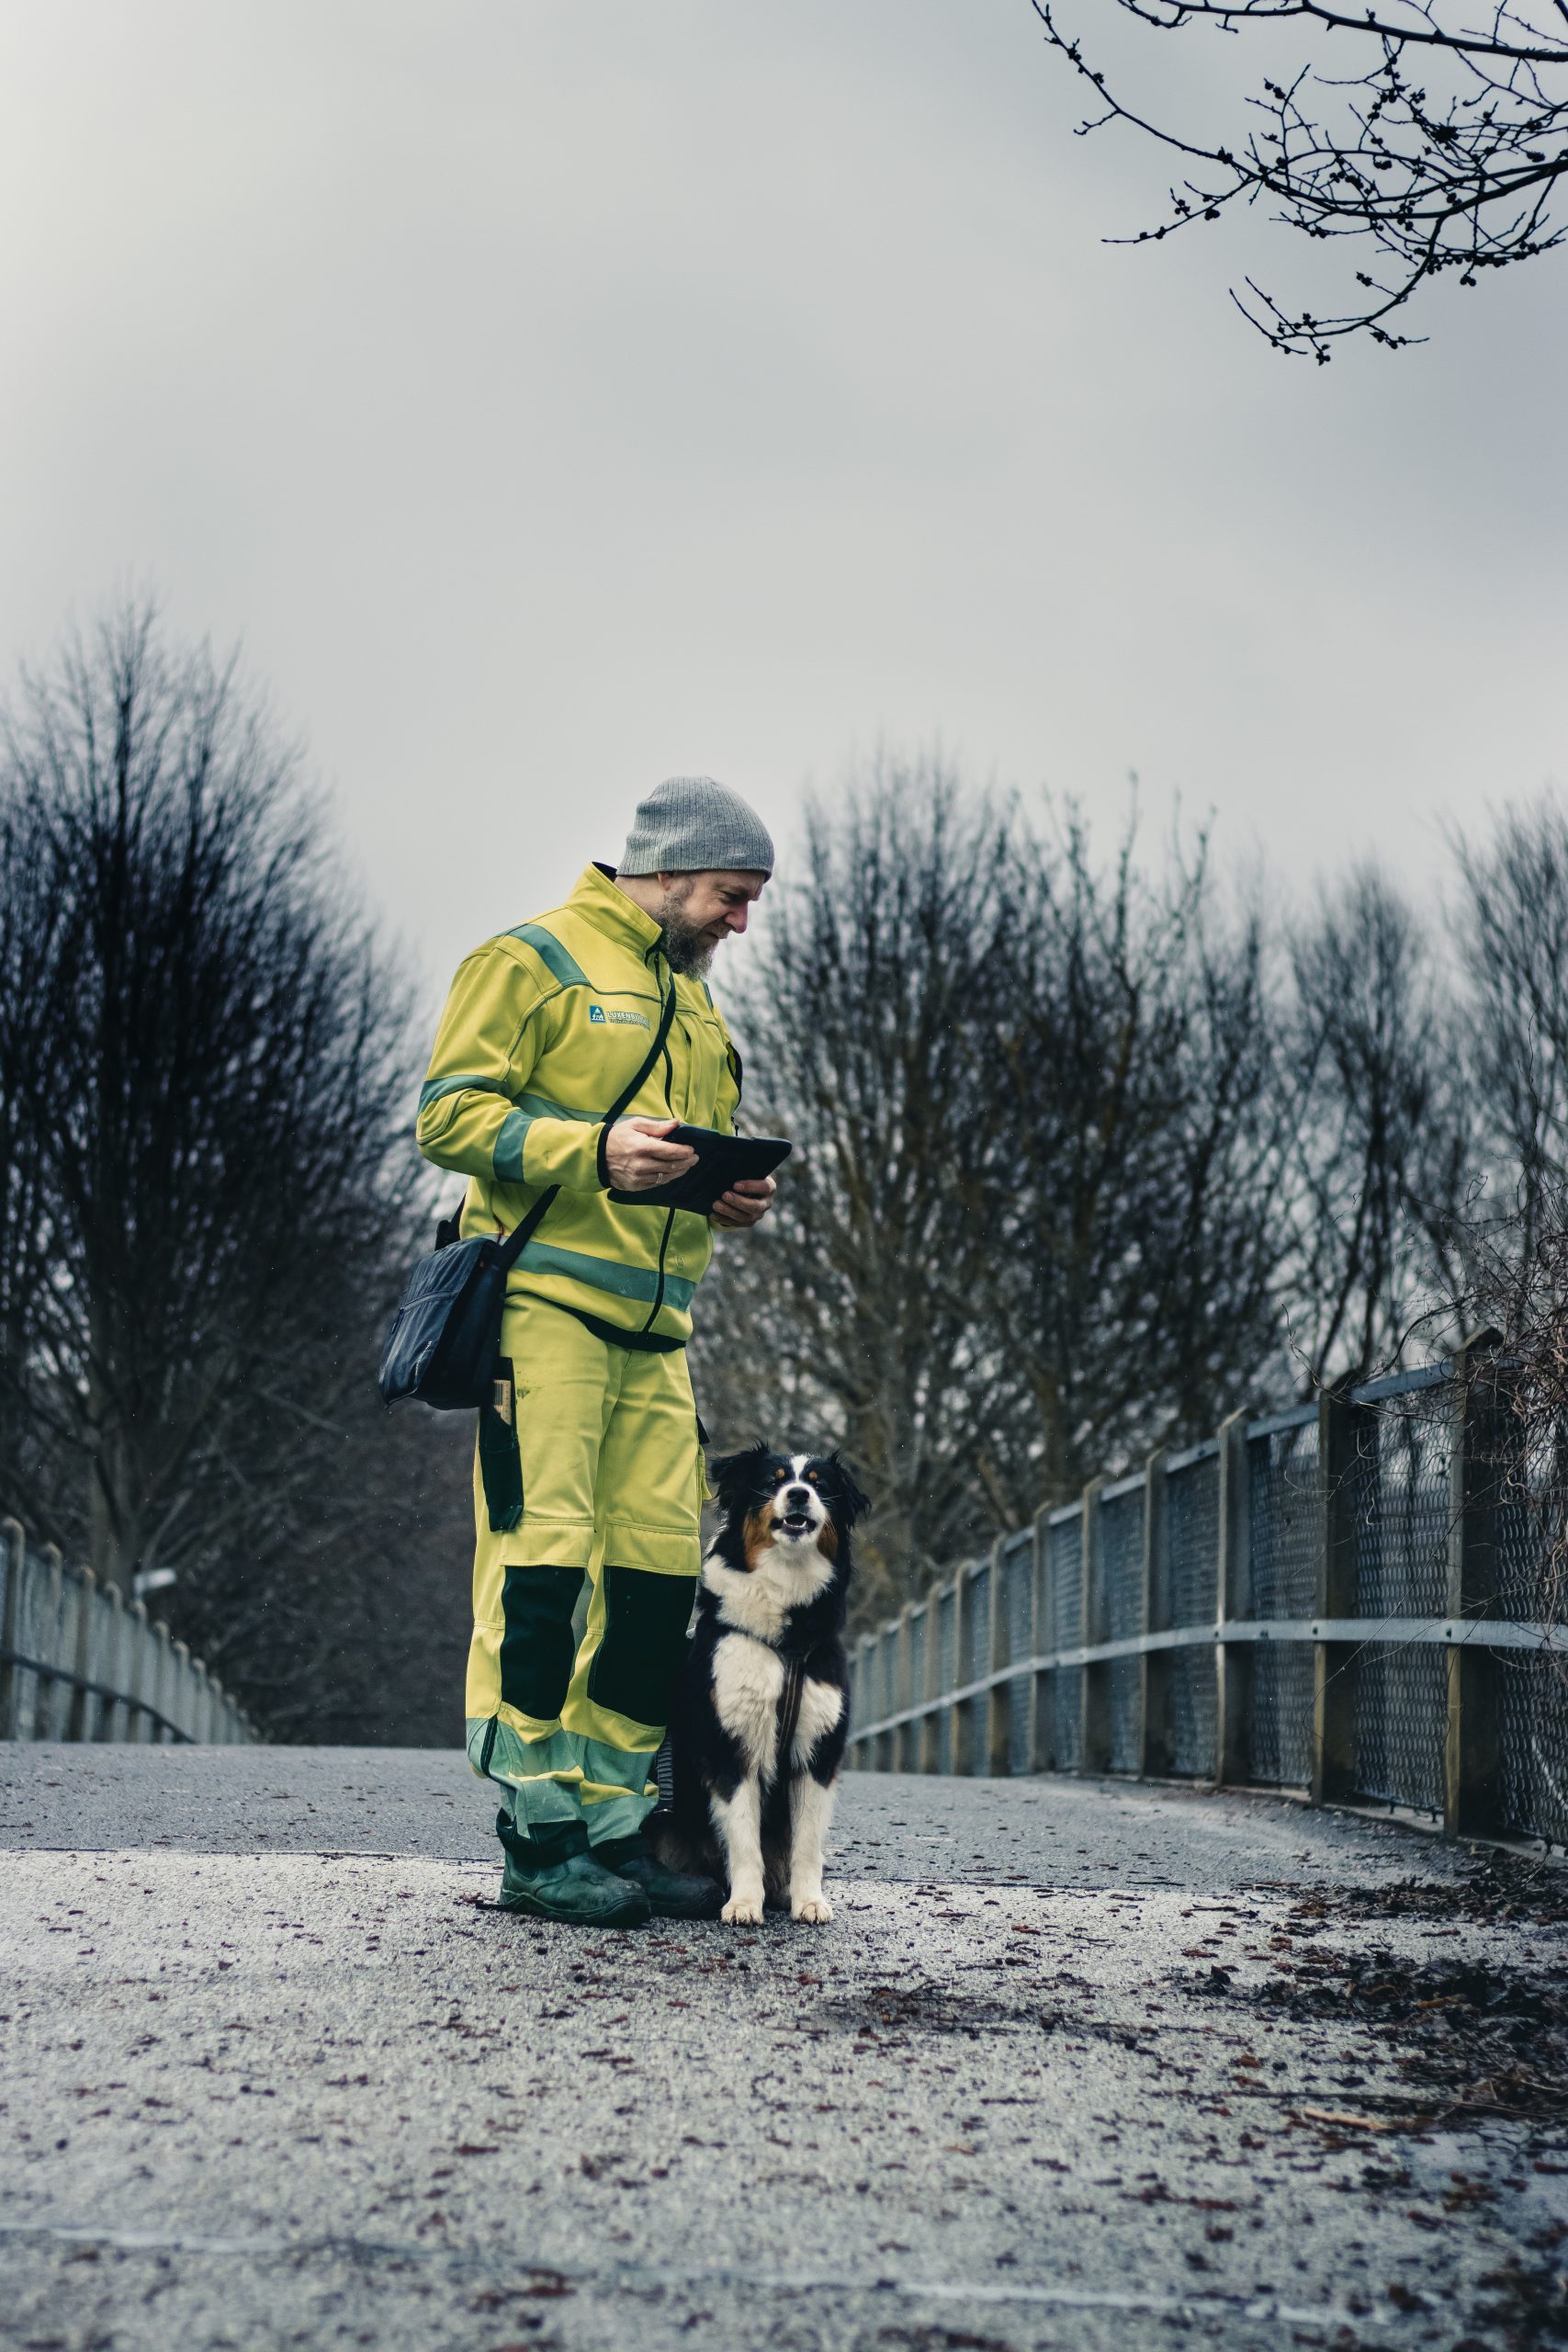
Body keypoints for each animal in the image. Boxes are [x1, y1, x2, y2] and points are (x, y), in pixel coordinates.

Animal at [649, 1439, 869, 1918]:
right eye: (774, 1481)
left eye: (819, 1486)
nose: (799, 1495)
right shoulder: (732, 1745)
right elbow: (744, 1837)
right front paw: (745, 1904)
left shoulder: (816, 1751)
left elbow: (807, 1843)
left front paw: (809, 1902)